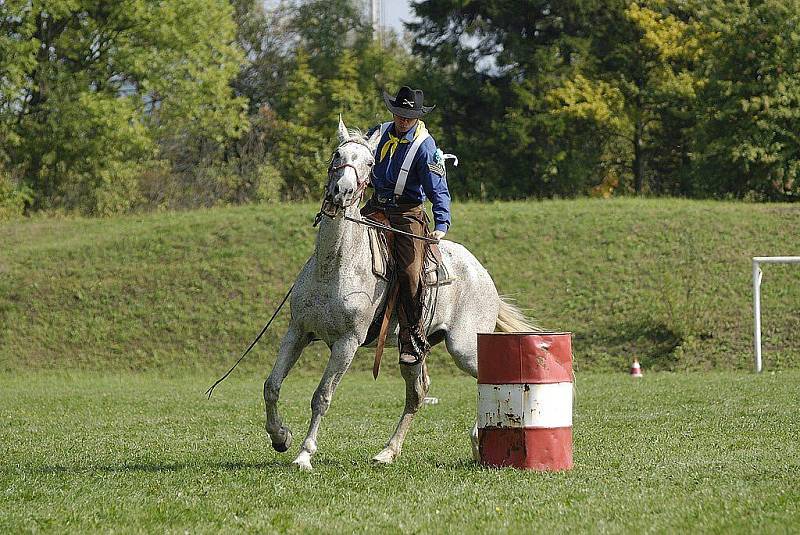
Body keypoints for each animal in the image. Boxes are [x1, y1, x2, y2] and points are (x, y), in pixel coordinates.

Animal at [264, 116, 536, 468]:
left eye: (369, 163)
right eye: (338, 155)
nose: (342, 191)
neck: (334, 266)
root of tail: (482, 274)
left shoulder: (347, 343)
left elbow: (322, 396)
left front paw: (304, 454)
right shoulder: (297, 331)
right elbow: (272, 385)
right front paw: (280, 436)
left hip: (464, 349)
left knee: (486, 376)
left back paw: (478, 438)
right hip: (414, 351)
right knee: (417, 394)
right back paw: (388, 451)